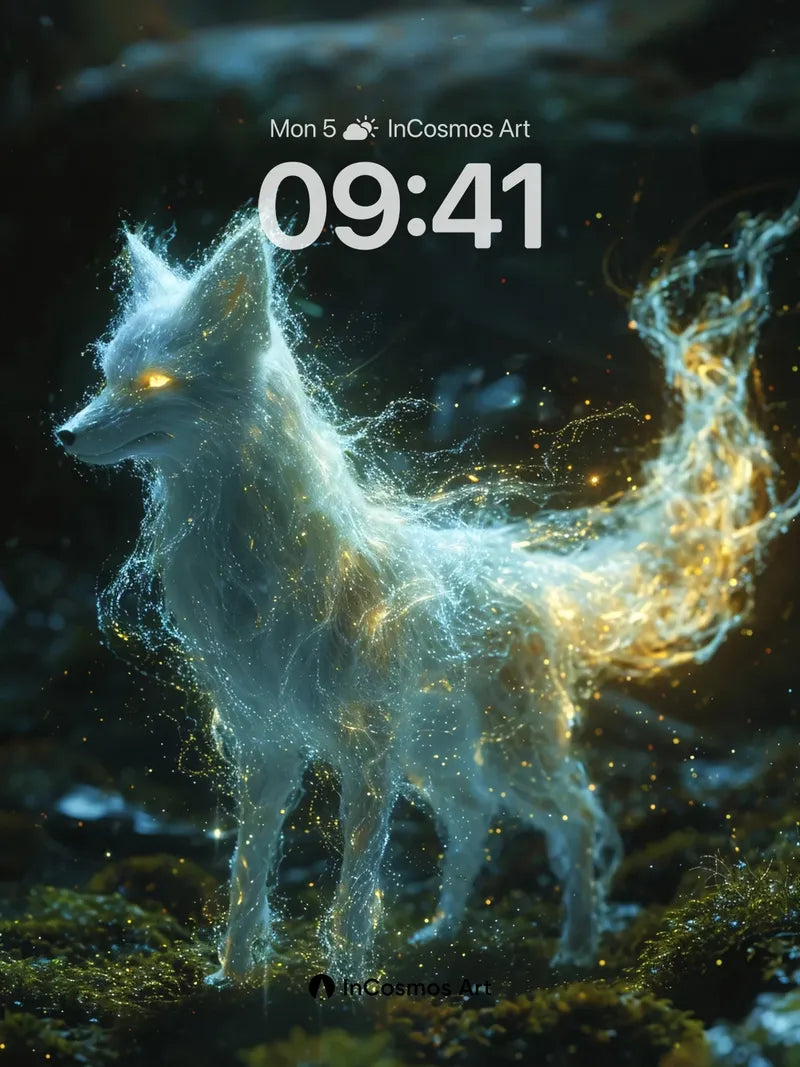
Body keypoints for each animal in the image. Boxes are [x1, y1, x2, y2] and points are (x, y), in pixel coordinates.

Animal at [57, 199, 800, 984]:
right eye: (108, 375)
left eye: (155, 382)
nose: (64, 434)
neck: (258, 562)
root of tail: (531, 572)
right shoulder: (267, 745)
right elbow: (248, 870)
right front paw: (233, 974)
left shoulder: (367, 749)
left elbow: (355, 888)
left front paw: (348, 974)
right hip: (438, 753)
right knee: (474, 817)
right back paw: (443, 933)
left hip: (508, 750)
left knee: (575, 817)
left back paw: (574, 948)